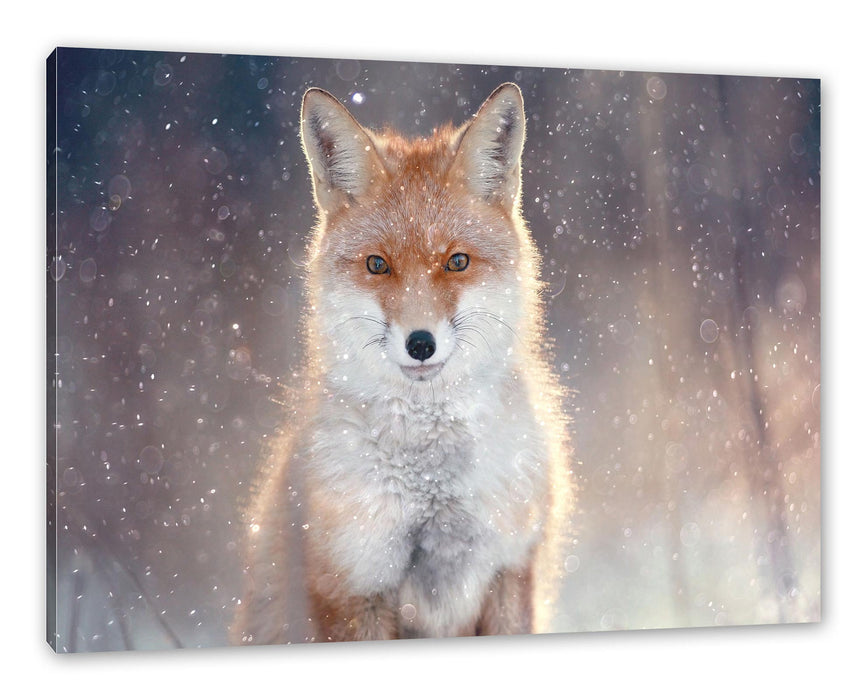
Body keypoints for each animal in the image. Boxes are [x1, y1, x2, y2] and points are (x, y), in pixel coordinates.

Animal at [230, 82, 574, 644]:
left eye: (456, 262)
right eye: (377, 265)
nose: (420, 344)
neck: (432, 488)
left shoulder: (509, 569)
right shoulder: (353, 584)